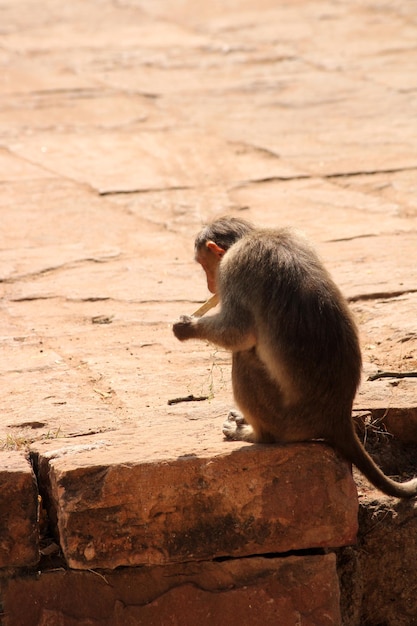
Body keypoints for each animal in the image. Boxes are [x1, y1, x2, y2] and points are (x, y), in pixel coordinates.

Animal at [171, 216, 416, 498]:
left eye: (204, 265)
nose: (211, 285)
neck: (254, 236)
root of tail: (338, 417)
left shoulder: (236, 265)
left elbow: (238, 332)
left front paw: (187, 327)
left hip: (286, 419)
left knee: (244, 356)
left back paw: (257, 435)